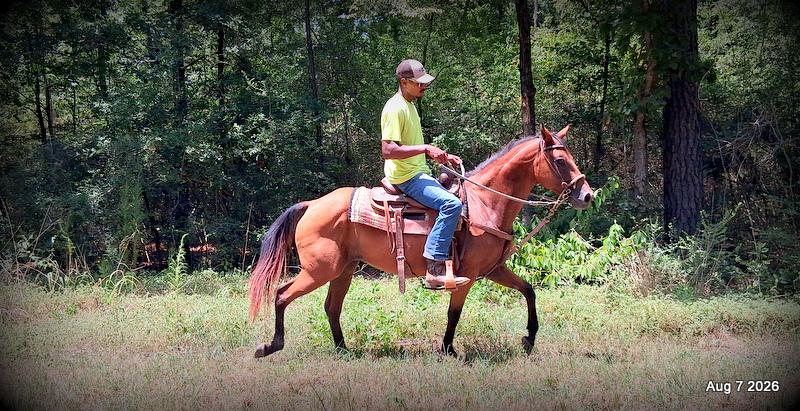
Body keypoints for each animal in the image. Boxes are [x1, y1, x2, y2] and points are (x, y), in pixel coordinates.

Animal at [248, 124, 593, 357]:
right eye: (560, 161)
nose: (587, 195)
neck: (485, 203)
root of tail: (311, 205)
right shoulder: (466, 276)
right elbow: (454, 313)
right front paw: (449, 350)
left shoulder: (493, 269)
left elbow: (529, 290)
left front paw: (529, 338)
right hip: (320, 270)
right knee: (282, 295)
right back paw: (270, 346)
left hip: (342, 270)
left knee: (331, 307)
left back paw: (343, 350)